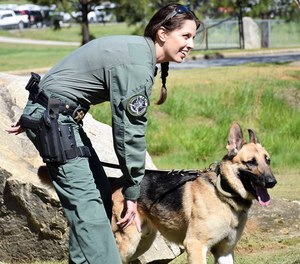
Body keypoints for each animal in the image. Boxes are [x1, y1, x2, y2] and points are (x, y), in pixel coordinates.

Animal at [110, 122, 276, 262]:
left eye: (267, 160)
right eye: (251, 162)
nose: (272, 182)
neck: (223, 194)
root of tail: (117, 181)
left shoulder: (225, 252)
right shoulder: (195, 245)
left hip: (143, 242)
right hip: (129, 244)